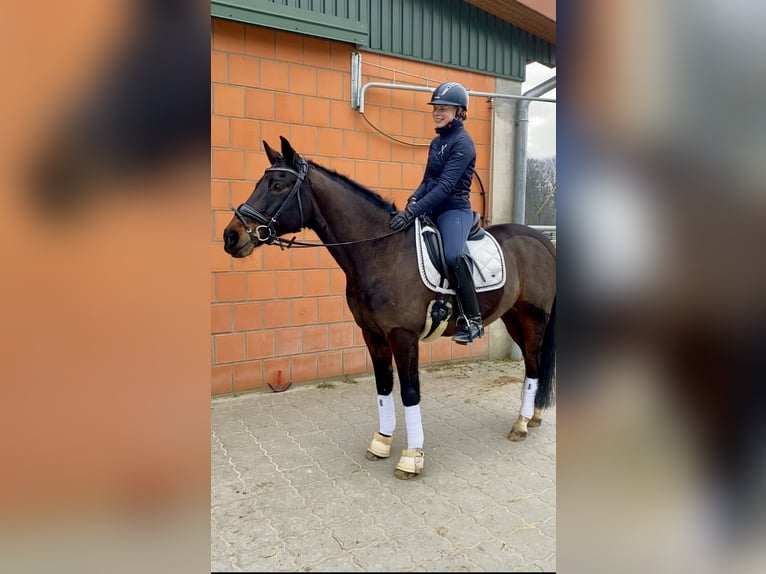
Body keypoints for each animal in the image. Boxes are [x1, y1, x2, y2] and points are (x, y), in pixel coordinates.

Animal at [224, 136, 560, 482]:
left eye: (278, 185)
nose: (231, 236)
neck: (380, 250)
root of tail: (541, 240)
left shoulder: (403, 336)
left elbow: (410, 393)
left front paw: (411, 458)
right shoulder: (372, 334)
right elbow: (384, 387)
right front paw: (382, 442)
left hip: (533, 318)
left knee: (533, 365)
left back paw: (520, 425)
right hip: (513, 318)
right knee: (532, 364)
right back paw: (532, 417)